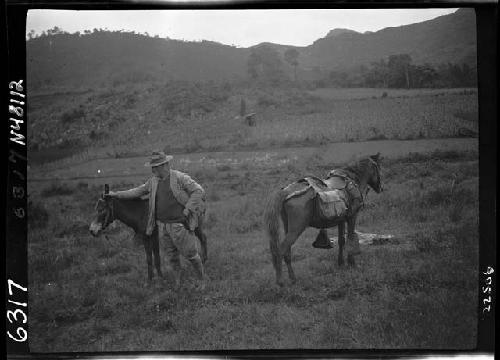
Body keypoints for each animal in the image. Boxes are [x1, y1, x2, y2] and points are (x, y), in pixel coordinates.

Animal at [266, 153, 382, 286]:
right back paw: (280, 281)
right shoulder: (352, 216)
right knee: (281, 250)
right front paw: (352, 263)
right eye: (378, 167)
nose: (381, 188)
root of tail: (285, 192)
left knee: (286, 252)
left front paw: (341, 263)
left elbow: (342, 240)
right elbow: (351, 238)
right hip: (296, 230)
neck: (352, 179)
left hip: (288, 228)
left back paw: (292, 278)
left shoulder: (341, 219)